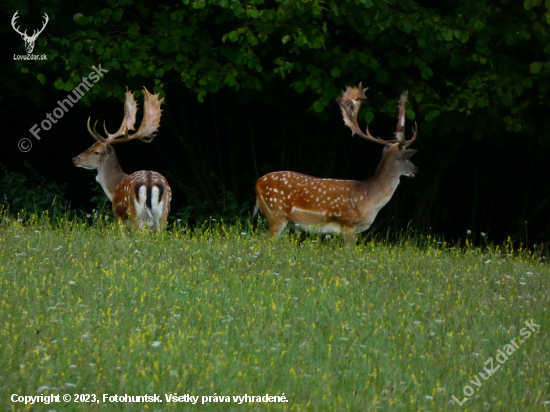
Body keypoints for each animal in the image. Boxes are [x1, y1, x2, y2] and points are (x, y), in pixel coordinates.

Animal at [73, 86, 171, 230]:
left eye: (96, 152)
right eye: (91, 145)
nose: (75, 159)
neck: (113, 187)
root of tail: (149, 182)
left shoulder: (117, 214)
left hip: (135, 215)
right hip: (164, 212)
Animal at [254, 85, 418, 243]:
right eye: (407, 158)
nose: (416, 169)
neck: (369, 198)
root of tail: (257, 183)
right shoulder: (349, 224)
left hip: (284, 221)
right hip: (276, 214)